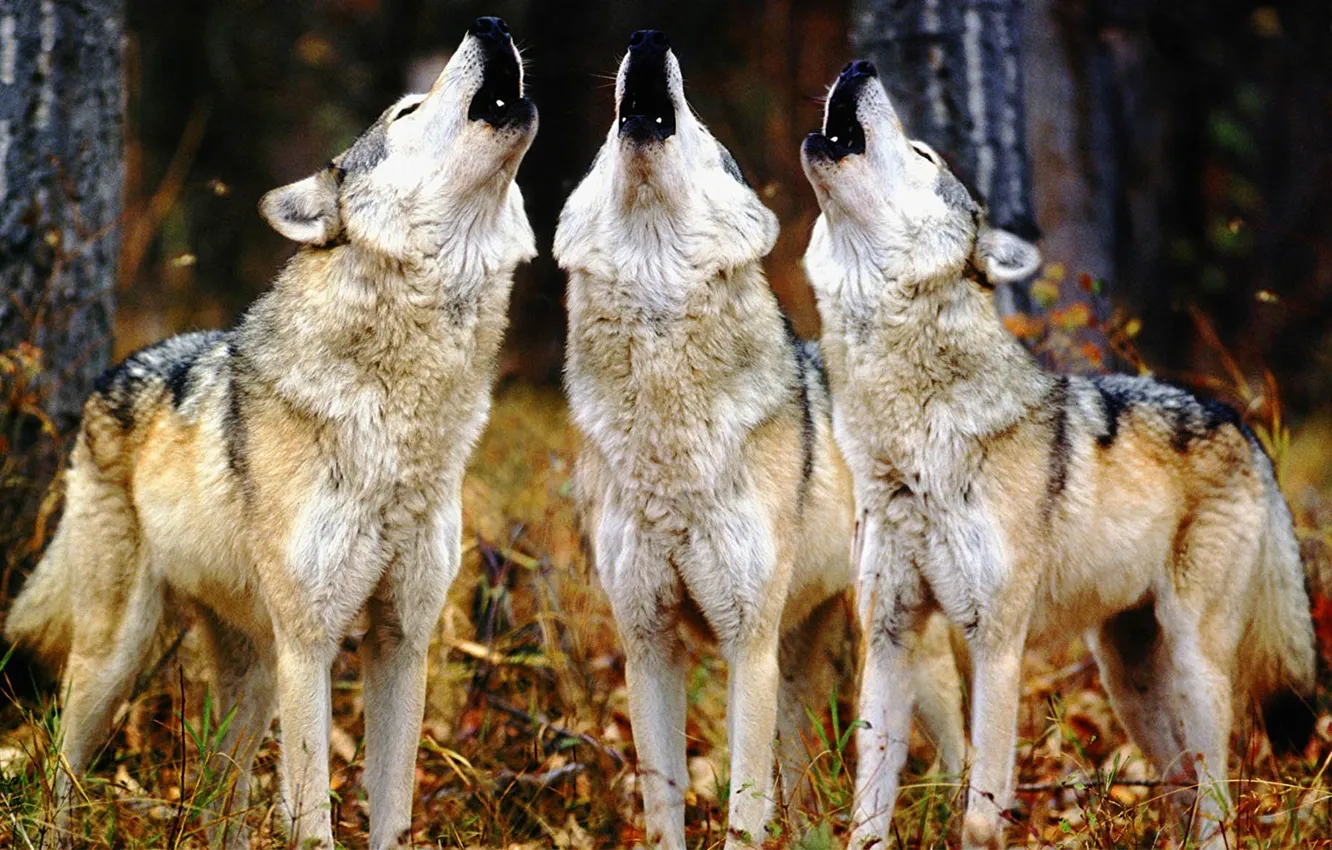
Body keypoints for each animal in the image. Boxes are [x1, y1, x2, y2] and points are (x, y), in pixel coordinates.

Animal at [4, 17, 536, 849]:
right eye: (408, 110)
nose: (491, 25)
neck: (402, 419)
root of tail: (111, 371)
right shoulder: (309, 646)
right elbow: (313, 817)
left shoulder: (402, 642)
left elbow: (391, 814)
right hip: (119, 657)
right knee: (61, 768)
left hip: (250, 681)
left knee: (215, 806)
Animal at [555, 32, 965, 850]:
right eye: (601, 145)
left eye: (704, 131)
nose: (648, 39)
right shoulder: (648, 645)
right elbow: (664, 807)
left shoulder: (747, 646)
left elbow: (743, 810)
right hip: (800, 659)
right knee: (805, 785)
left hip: (895, 649)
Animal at [799, 59, 1316, 850]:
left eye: (922, 154)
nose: (859, 67)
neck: (910, 444)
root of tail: (1239, 420)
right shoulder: (890, 635)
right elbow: (867, 812)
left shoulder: (996, 644)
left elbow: (981, 815)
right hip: (1127, 680)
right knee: (1179, 788)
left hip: (1196, 667)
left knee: (1217, 803)